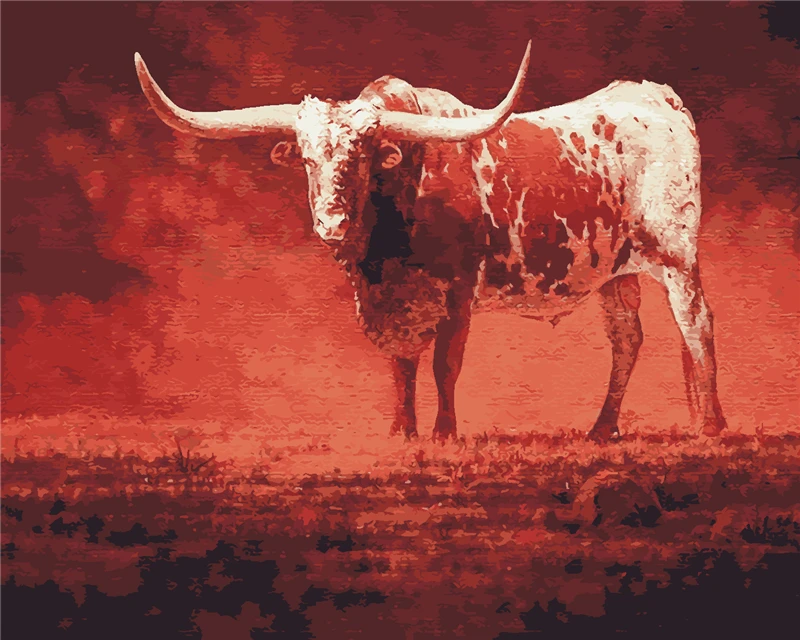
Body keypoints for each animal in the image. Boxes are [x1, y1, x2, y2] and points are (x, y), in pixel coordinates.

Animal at [134, 42, 727, 442]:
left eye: (363, 156)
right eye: (306, 157)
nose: (330, 222)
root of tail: (656, 96)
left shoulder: (459, 293)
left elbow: (445, 362)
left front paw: (444, 433)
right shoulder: (394, 302)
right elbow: (401, 366)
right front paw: (403, 430)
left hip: (676, 256)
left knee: (695, 325)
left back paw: (710, 425)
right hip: (615, 271)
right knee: (628, 338)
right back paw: (604, 429)